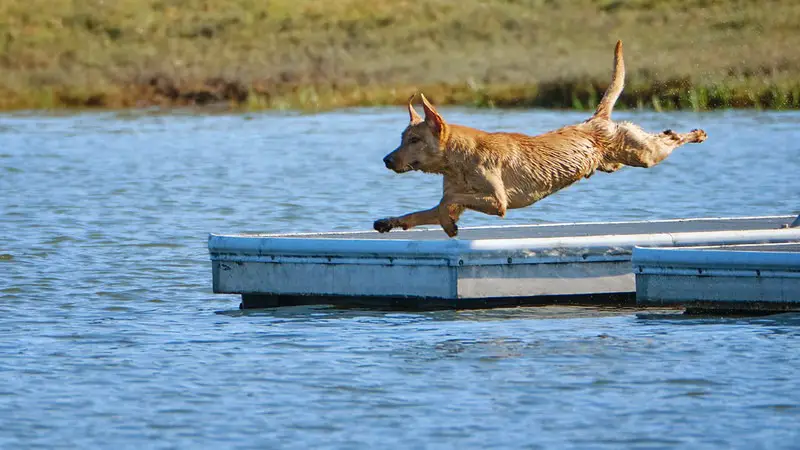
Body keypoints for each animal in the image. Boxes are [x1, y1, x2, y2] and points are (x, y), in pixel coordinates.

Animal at [374, 40, 708, 237]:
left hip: (642, 155)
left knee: (669, 141)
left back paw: (694, 133)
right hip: (618, 162)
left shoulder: (497, 202)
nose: (386, 160)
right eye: (402, 138)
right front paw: (391, 221)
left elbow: (448, 201)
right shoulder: (459, 197)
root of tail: (595, 119)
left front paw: (448, 225)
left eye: (414, 140)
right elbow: (425, 211)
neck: (458, 160)